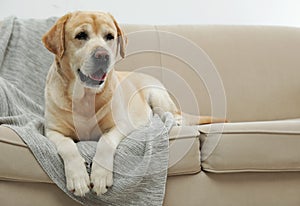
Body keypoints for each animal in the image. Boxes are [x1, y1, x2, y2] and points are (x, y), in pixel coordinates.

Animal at [41, 10, 225, 196]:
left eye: (110, 36)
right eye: (81, 35)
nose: (103, 56)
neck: (85, 97)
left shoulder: (121, 124)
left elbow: (105, 141)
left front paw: (100, 176)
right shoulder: (52, 131)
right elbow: (67, 145)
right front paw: (78, 178)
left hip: (157, 95)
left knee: (174, 114)